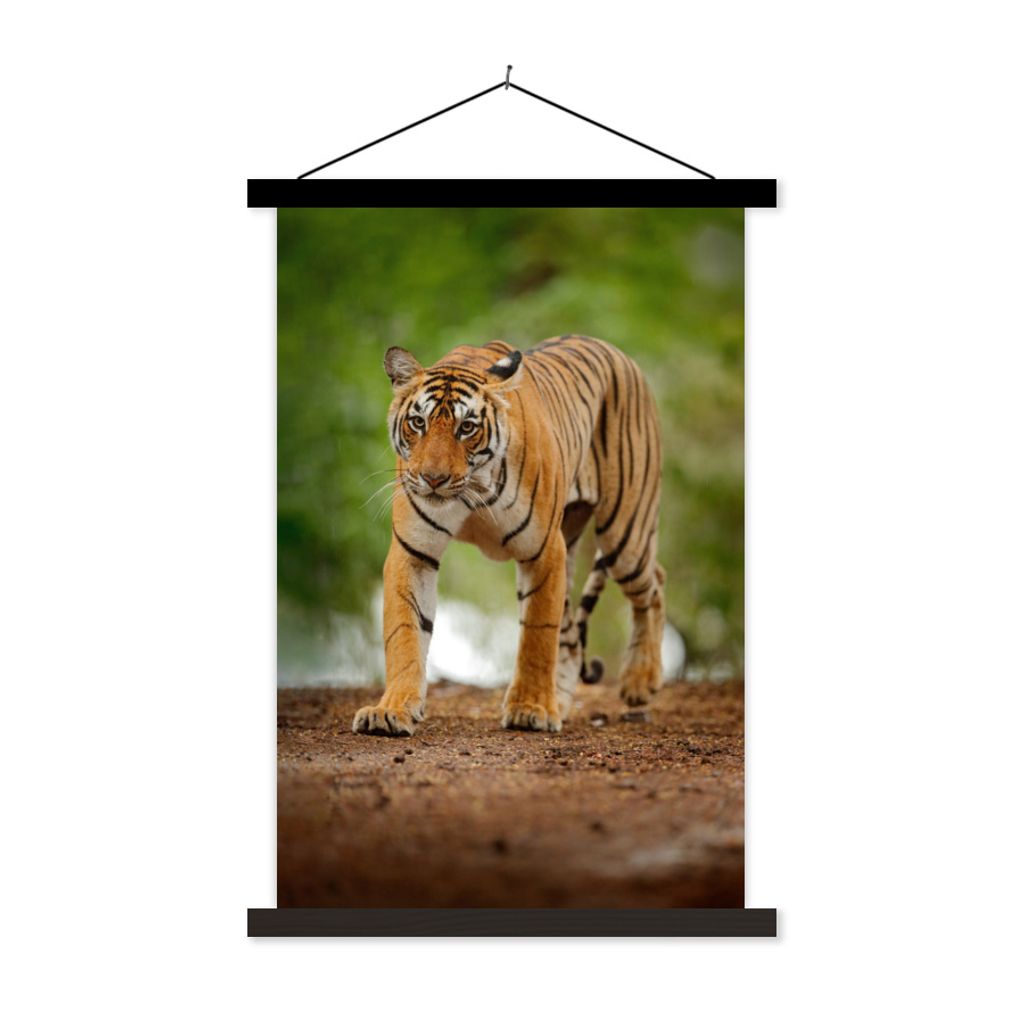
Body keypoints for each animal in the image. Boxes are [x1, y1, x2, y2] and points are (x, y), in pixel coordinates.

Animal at [352, 334, 665, 736]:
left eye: (467, 427)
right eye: (418, 422)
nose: (433, 479)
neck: (472, 488)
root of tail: (617, 352)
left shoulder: (544, 550)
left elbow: (537, 634)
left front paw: (530, 709)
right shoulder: (413, 553)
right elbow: (404, 633)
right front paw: (391, 710)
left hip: (625, 534)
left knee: (654, 584)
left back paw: (640, 681)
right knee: (571, 637)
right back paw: (561, 703)